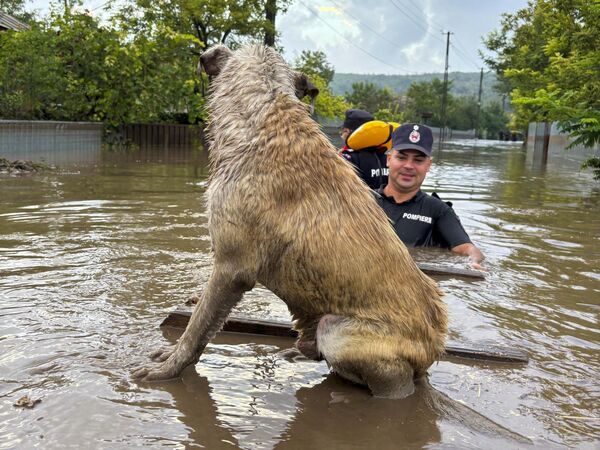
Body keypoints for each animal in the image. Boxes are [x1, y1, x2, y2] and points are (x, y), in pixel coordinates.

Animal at [135, 44, 446, 398]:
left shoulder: (231, 268)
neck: (265, 117)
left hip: (338, 332)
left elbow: (196, 329)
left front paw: (168, 369)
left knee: (394, 381)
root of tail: (433, 348)